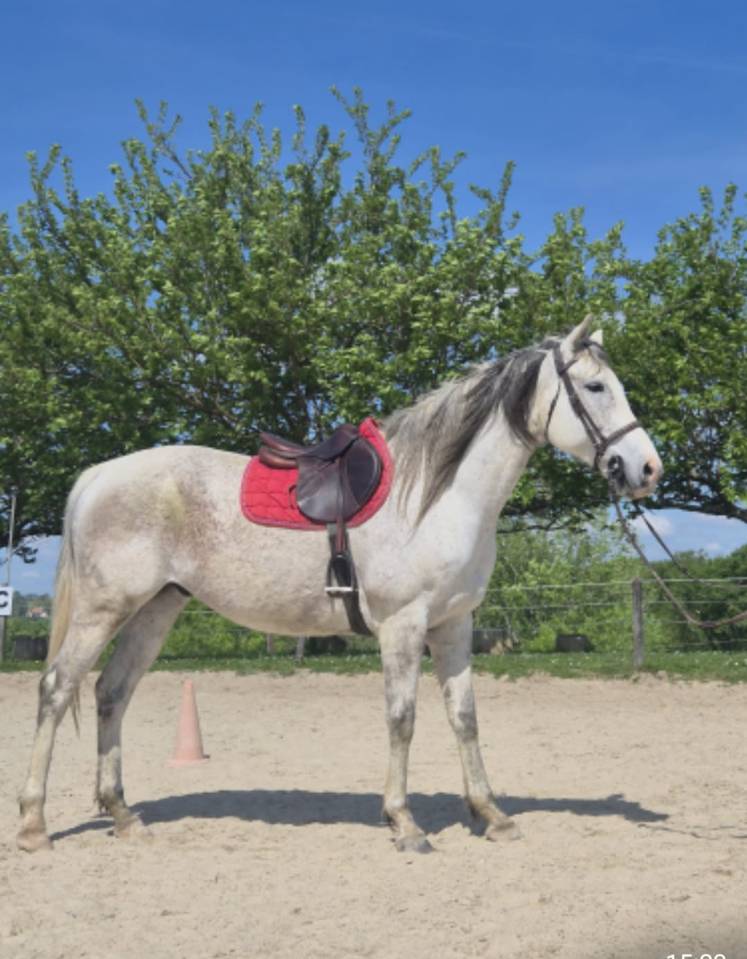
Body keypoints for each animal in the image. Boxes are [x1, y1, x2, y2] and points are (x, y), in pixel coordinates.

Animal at [17, 315, 662, 853]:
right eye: (596, 388)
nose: (646, 468)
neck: (436, 497)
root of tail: (99, 475)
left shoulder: (454, 625)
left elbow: (464, 717)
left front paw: (491, 814)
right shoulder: (404, 625)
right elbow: (403, 717)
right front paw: (404, 823)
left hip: (156, 610)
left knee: (111, 693)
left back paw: (124, 816)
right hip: (103, 610)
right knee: (56, 690)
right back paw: (33, 825)